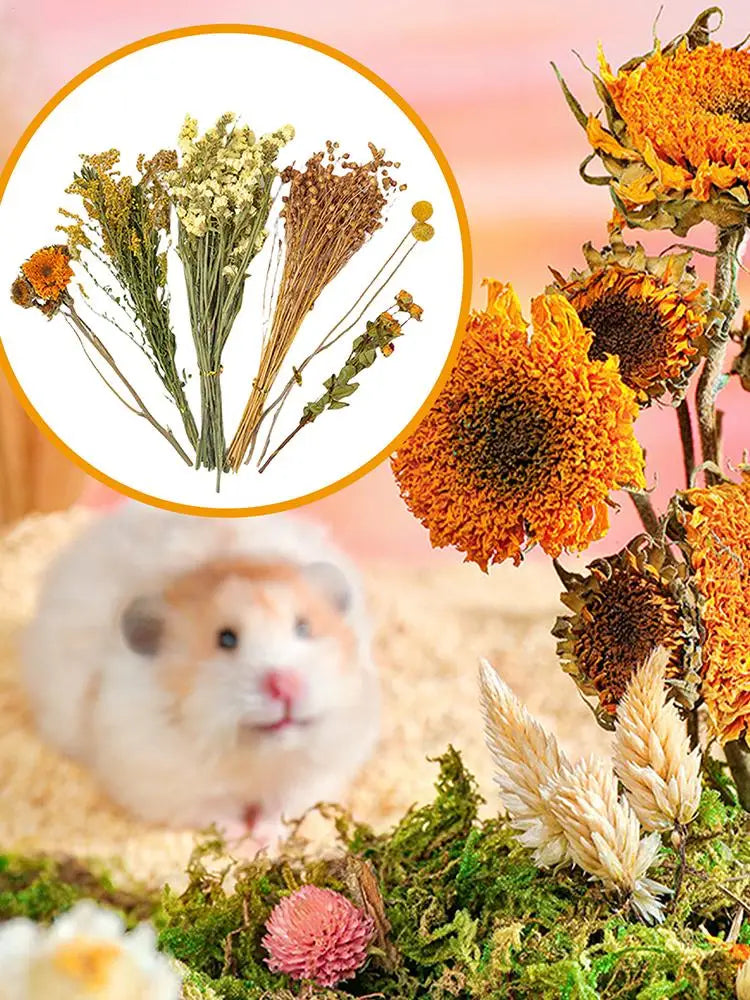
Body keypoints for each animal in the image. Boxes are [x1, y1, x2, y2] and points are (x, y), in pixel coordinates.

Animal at [21, 501, 379, 842]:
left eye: (304, 628)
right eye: (226, 639)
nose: (285, 685)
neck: (258, 758)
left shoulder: (317, 773)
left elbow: (283, 809)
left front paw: (263, 841)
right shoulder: (164, 783)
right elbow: (216, 813)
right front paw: (240, 843)